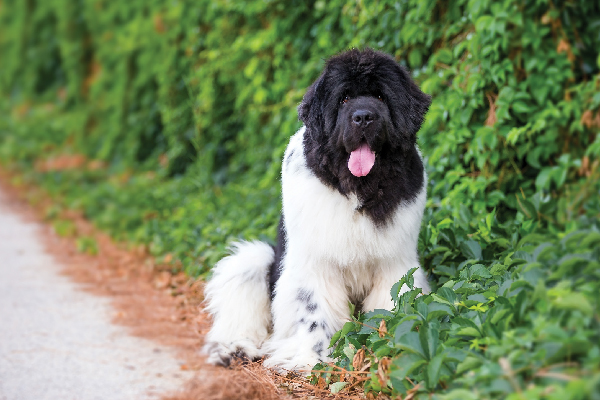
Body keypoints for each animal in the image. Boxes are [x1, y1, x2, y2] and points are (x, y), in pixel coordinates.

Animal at [202, 48, 432, 374]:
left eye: (380, 96)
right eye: (344, 99)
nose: (364, 117)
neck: (357, 189)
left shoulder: (396, 263)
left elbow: (392, 305)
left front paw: (389, 349)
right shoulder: (314, 264)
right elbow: (313, 313)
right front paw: (312, 360)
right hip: (254, 262)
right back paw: (233, 348)